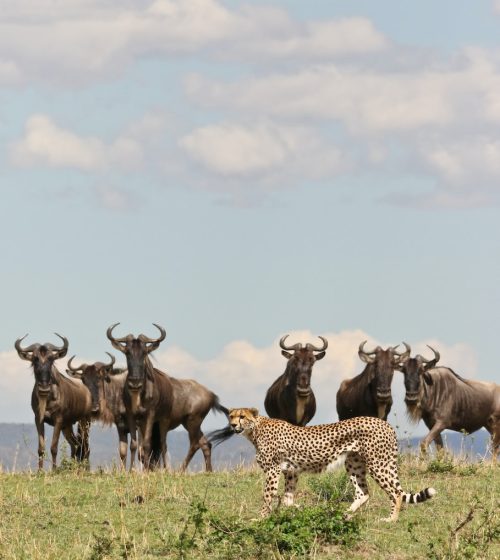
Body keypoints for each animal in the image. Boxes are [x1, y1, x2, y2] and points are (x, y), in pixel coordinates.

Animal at [221, 406, 436, 520]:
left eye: (242, 416)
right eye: (231, 416)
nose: (232, 425)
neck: (254, 429)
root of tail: (384, 423)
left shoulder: (273, 470)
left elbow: (267, 496)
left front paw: (261, 517)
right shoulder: (291, 471)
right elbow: (288, 498)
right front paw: (296, 509)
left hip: (378, 463)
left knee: (396, 492)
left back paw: (391, 519)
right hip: (354, 464)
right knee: (363, 492)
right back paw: (344, 515)